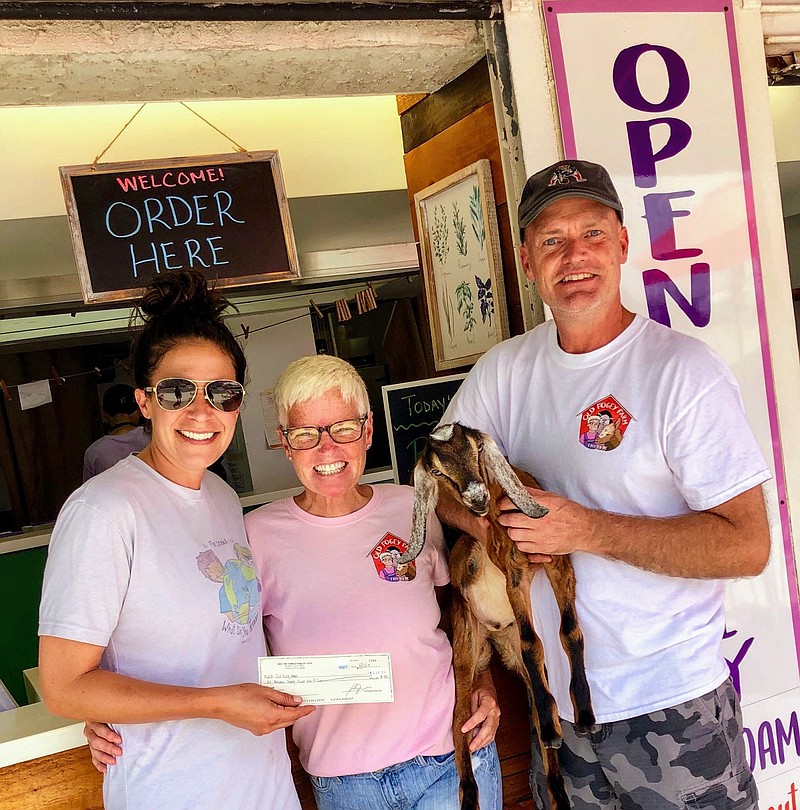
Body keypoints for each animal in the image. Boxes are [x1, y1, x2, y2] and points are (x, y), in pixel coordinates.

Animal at [400, 422, 592, 808]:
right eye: (437, 472)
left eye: (476, 449)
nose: (477, 498)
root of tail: (493, 638)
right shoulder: (514, 573)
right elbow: (534, 643)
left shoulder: (558, 561)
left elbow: (570, 632)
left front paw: (584, 714)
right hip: (464, 653)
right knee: (460, 722)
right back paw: (472, 795)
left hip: (515, 656)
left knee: (537, 698)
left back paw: (555, 767)